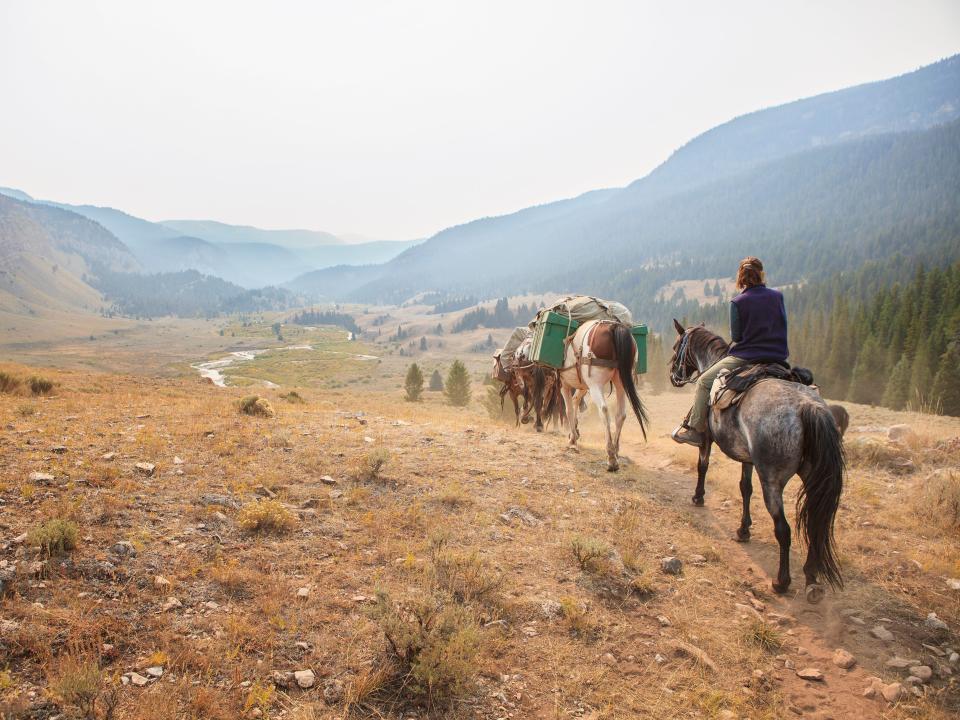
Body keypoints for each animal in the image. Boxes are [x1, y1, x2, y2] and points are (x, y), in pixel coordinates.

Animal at [672, 320, 844, 600]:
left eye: (677, 347)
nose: (673, 376)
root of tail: (808, 407)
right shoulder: (748, 459)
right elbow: (745, 488)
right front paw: (743, 530)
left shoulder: (706, 439)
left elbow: (702, 466)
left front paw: (698, 497)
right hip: (812, 478)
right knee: (815, 525)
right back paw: (811, 577)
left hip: (772, 479)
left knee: (783, 530)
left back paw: (781, 582)